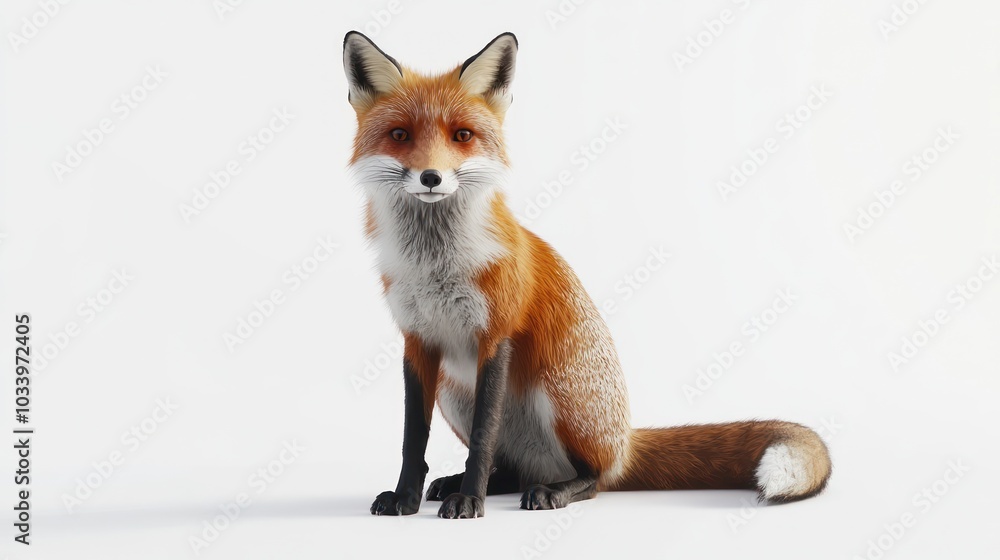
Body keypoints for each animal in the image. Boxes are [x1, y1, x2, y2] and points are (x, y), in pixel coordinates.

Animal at [343, 30, 832, 519]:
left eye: (462, 135)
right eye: (400, 135)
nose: (431, 177)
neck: (436, 265)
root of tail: (624, 443)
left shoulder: (496, 334)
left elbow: (482, 438)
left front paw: (470, 502)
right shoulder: (417, 341)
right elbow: (412, 439)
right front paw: (405, 498)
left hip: (558, 397)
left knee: (594, 478)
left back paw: (553, 491)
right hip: (454, 391)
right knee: (512, 469)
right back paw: (473, 482)